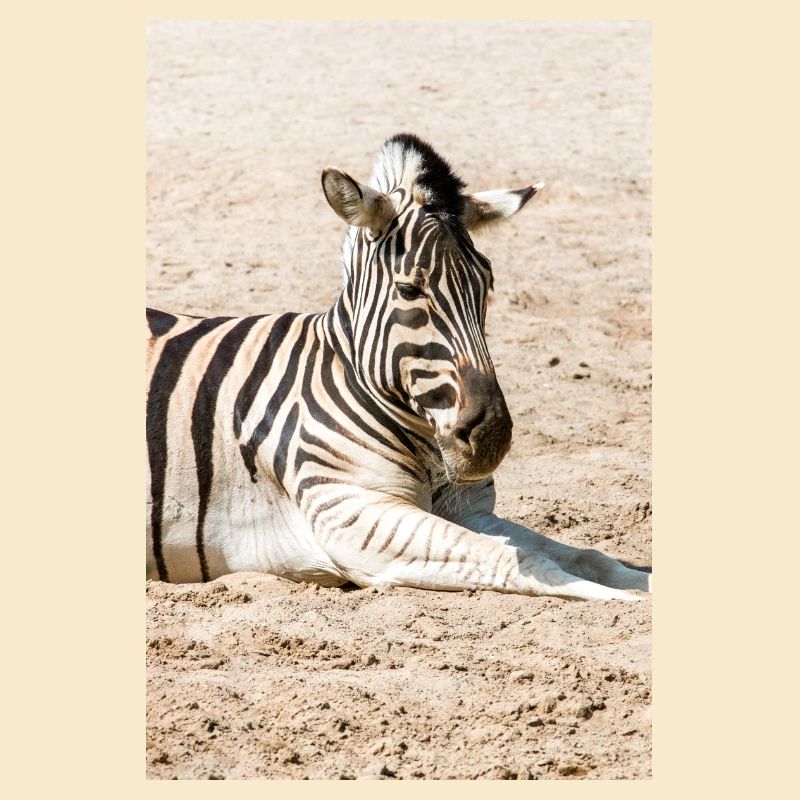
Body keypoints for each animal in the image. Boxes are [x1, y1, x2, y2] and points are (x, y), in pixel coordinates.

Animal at [146, 132, 651, 601]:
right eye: (409, 290)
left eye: (487, 285)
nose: (492, 437)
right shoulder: (353, 514)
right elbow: (523, 560)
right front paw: (622, 602)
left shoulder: (470, 510)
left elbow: (588, 555)